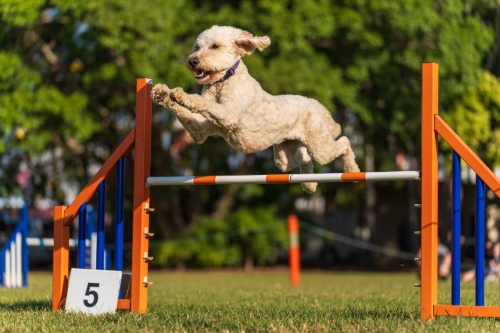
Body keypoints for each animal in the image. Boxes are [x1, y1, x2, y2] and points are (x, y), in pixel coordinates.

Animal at [151, 25, 360, 192]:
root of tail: (312, 102)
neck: (223, 80)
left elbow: (201, 102)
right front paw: (162, 93)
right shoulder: (200, 130)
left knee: (344, 142)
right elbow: (190, 115)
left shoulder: (228, 115)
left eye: (215, 46)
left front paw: (181, 94)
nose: (192, 61)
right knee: (302, 156)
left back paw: (352, 171)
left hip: (319, 144)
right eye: (197, 47)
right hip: (284, 156)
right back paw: (309, 184)